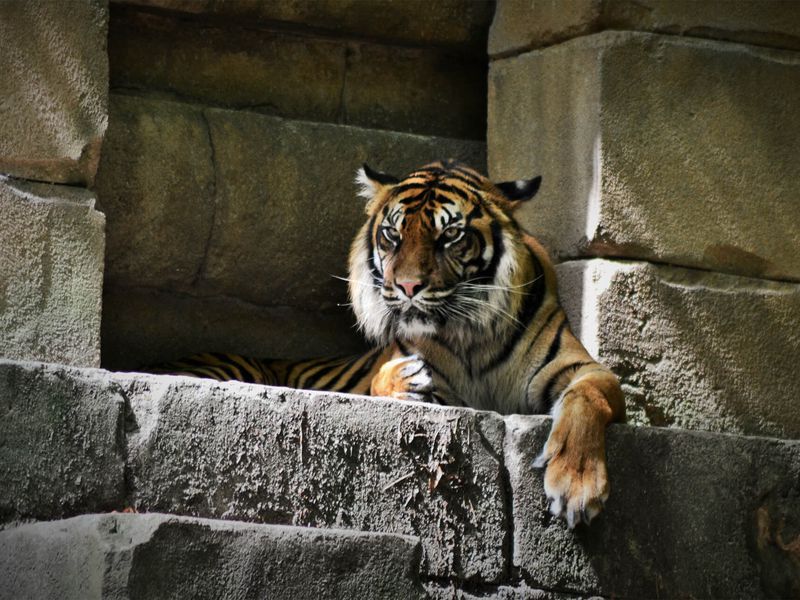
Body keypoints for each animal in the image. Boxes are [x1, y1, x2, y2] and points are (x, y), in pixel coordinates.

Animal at [150, 161, 624, 528]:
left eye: (450, 236)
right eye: (393, 235)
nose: (408, 286)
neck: (472, 338)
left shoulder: (582, 369)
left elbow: (589, 399)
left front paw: (577, 483)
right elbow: (384, 382)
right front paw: (404, 378)